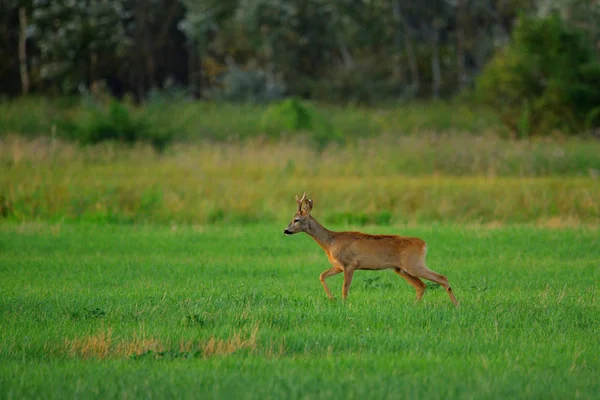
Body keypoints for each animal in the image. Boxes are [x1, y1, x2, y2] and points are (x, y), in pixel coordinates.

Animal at [284, 194, 458, 306]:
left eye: (296, 220)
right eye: (291, 219)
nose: (286, 230)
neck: (330, 241)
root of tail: (424, 244)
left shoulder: (350, 264)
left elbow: (345, 288)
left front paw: (343, 304)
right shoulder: (338, 266)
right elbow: (322, 276)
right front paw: (332, 299)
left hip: (414, 264)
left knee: (441, 278)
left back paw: (456, 305)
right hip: (401, 269)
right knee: (421, 286)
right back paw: (414, 306)